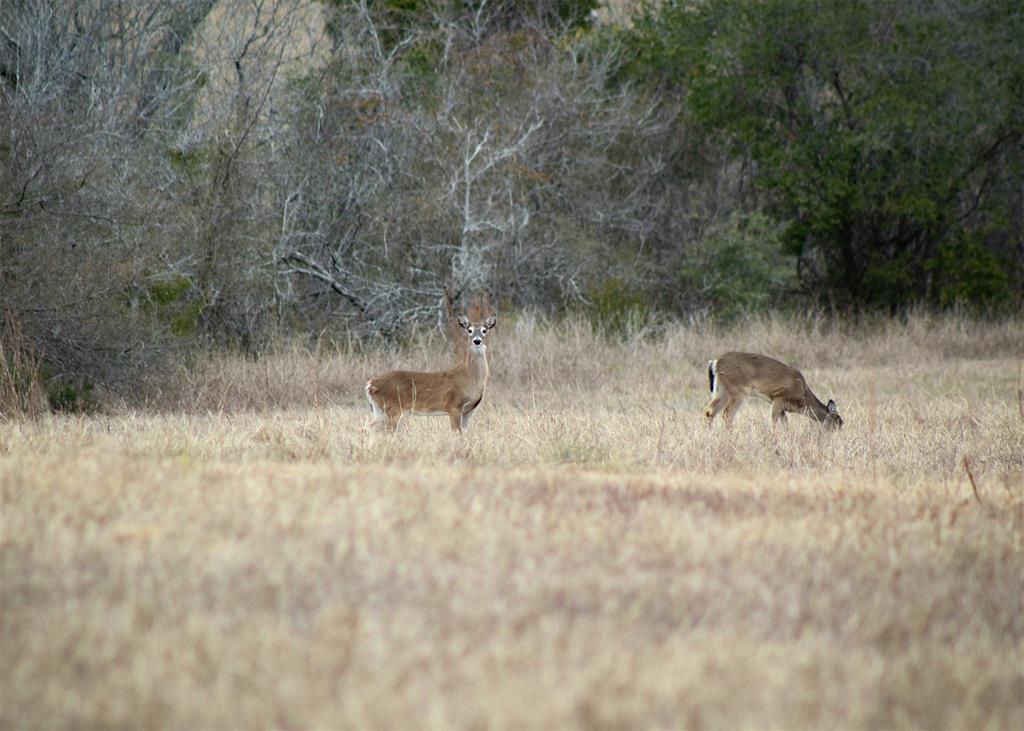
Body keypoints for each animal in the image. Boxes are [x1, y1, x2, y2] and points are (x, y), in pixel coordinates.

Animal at [366, 315, 497, 430]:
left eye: (484, 330)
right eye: (469, 330)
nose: (477, 341)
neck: (470, 377)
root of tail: (370, 385)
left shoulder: (467, 411)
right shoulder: (454, 406)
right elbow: (457, 432)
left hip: (381, 411)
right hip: (392, 408)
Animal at [704, 352, 839, 427]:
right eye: (837, 421)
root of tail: (715, 362)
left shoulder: (782, 406)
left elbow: (785, 424)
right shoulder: (779, 396)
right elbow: (773, 421)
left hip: (721, 390)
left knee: (709, 411)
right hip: (738, 390)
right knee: (727, 415)